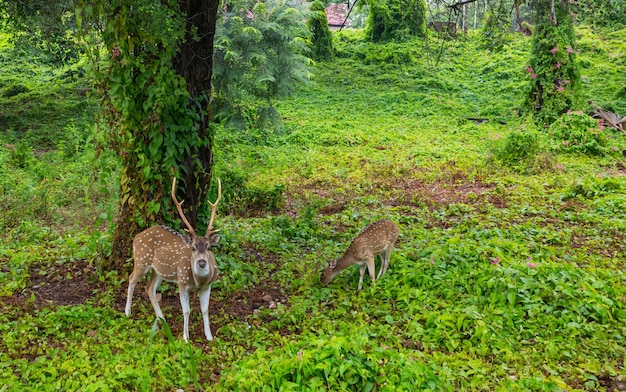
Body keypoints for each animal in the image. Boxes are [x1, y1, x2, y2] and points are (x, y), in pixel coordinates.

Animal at [124, 176, 222, 342]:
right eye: (193, 248)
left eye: (209, 247)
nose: (202, 262)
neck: (199, 281)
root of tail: (137, 236)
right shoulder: (182, 282)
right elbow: (187, 310)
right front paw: (186, 337)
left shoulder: (208, 286)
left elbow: (205, 310)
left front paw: (209, 336)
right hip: (142, 260)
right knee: (131, 279)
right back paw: (127, 312)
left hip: (157, 271)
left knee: (149, 288)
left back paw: (162, 320)